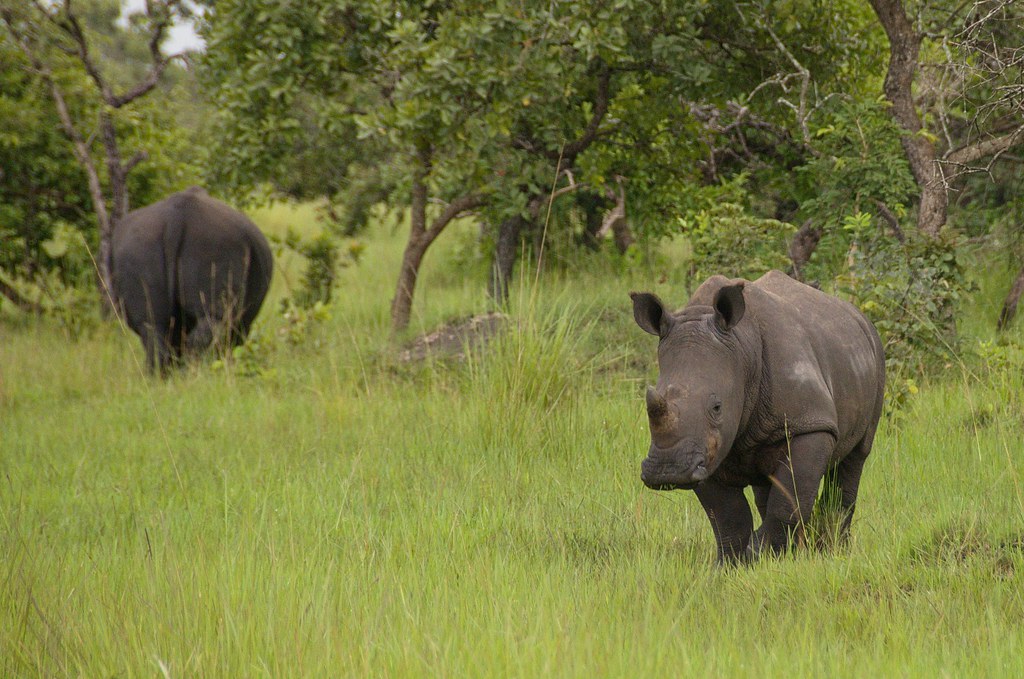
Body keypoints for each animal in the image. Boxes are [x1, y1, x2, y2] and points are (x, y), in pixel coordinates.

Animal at [631, 271, 885, 564]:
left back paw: (834, 550)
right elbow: (728, 518)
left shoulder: (809, 423)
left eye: (717, 407)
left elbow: (788, 501)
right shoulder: (703, 451)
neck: (742, 350)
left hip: (874, 354)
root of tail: (856, 314)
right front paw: (732, 565)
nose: (667, 470)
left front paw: (759, 555)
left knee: (855, 458)